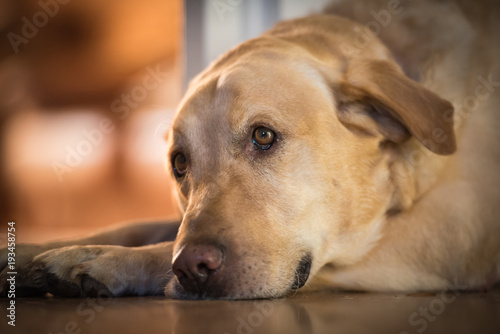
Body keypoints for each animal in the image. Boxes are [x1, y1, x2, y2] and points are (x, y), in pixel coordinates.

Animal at [0, 0, 500, 300]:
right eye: (179, 163)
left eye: (263, 136)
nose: (192, 268)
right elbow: (135, 225)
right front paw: (26, 254)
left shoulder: (444, 232)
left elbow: (159, 247)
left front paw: (98, 261)